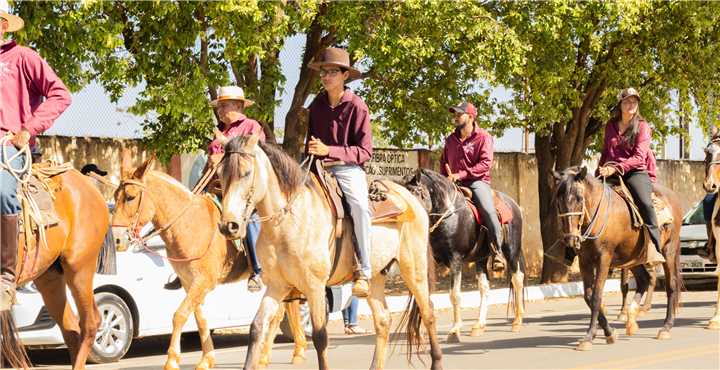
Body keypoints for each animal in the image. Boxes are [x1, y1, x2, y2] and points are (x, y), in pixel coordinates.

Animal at [111, 154, 308, 370]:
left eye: (130, 197)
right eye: (114, 196)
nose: (117, 239)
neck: (190, 224)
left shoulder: (203, 281)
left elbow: (179, 315)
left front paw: (172, 360)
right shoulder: (190, 283)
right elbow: (200, 319)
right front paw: (206, 359)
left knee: (282, 312)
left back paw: (268, 355)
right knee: (284, 310)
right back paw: (290, 351)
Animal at [219, 135, 444, 370]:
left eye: (246, 173)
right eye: (221, 175)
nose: (229, 226)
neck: (288, 221)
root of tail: (411, 199)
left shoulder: (315, 287)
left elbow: (320, 336)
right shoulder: (277, 286)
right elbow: (257, 327)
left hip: (414, 268)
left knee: (428, 313)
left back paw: (437, 362)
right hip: (375, 276)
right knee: (383, 320)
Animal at [402, 168, 524, 342]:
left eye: (417, 192)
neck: (449, 214)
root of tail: (514, 204)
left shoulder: (455, 260)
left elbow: (454, 295)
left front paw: (454, 330)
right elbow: (424, 295)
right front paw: (419, 333)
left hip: (512, 251)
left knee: (517, 279)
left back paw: (517, 321)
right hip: (481, 258)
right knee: (484, 288)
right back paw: (479, 325)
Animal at [556, 166, 684, 352]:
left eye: (579, 198)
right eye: (558, 200)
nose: (571, 239)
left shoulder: (604, 259)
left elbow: (596, 296)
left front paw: (589, 337)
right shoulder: (584, 261)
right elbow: (588, 296)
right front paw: (610, 332)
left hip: (669, 251)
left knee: (671, 285)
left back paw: (665, 327)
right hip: (634, 257)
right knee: (644, 280)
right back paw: (631, 318)